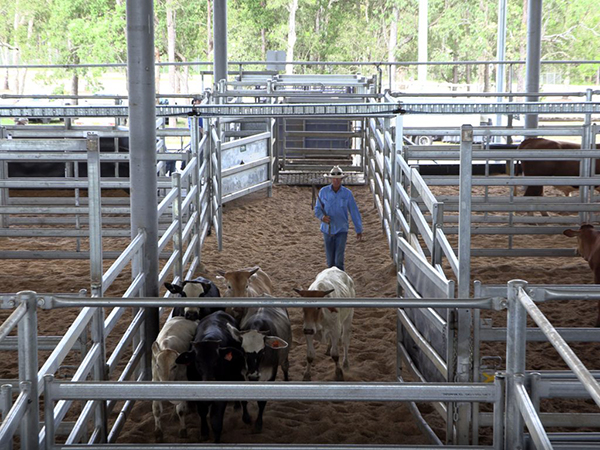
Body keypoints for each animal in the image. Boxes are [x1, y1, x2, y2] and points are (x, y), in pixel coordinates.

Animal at [151, 314, 198, 442]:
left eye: (174, 366)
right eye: (157, 365)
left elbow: (181, 410)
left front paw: (183, 430)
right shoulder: (155, 381)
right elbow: (156, 410)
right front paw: (158, 433)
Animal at [175, 312, 250, 442]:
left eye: (217, 361)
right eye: (197, 362)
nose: (209, 380)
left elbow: (216, 421)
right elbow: (202, 412)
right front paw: (204, 432)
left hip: (238, 372)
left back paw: (245, 416)